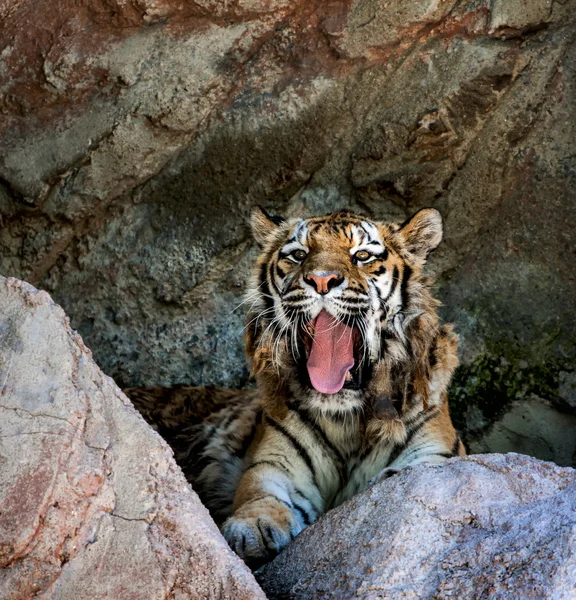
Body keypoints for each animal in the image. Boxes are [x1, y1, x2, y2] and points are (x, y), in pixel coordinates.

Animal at [125, 206, 464, 568]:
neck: (348, 419)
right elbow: (260, 494)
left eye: (361, 256)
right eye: (299, 255)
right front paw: (254, 528)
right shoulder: (276, 465)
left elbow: (420, 469)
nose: (321, 280)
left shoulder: (436, 450)